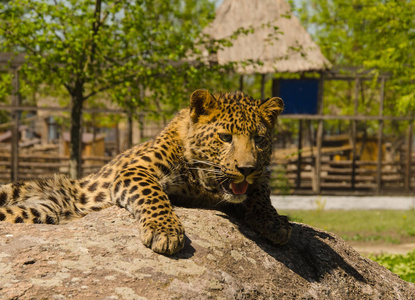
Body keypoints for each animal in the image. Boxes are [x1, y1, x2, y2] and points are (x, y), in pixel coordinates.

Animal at [0, 89, 292, 255]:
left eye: (259, 139)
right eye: (225, 137)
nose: (246, 168)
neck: (202, 184)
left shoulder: (258, 177)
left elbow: (261, 192)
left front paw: (275, 222)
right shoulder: (134, 170)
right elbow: (153, 195)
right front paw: (166, 232)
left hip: (40, 212)